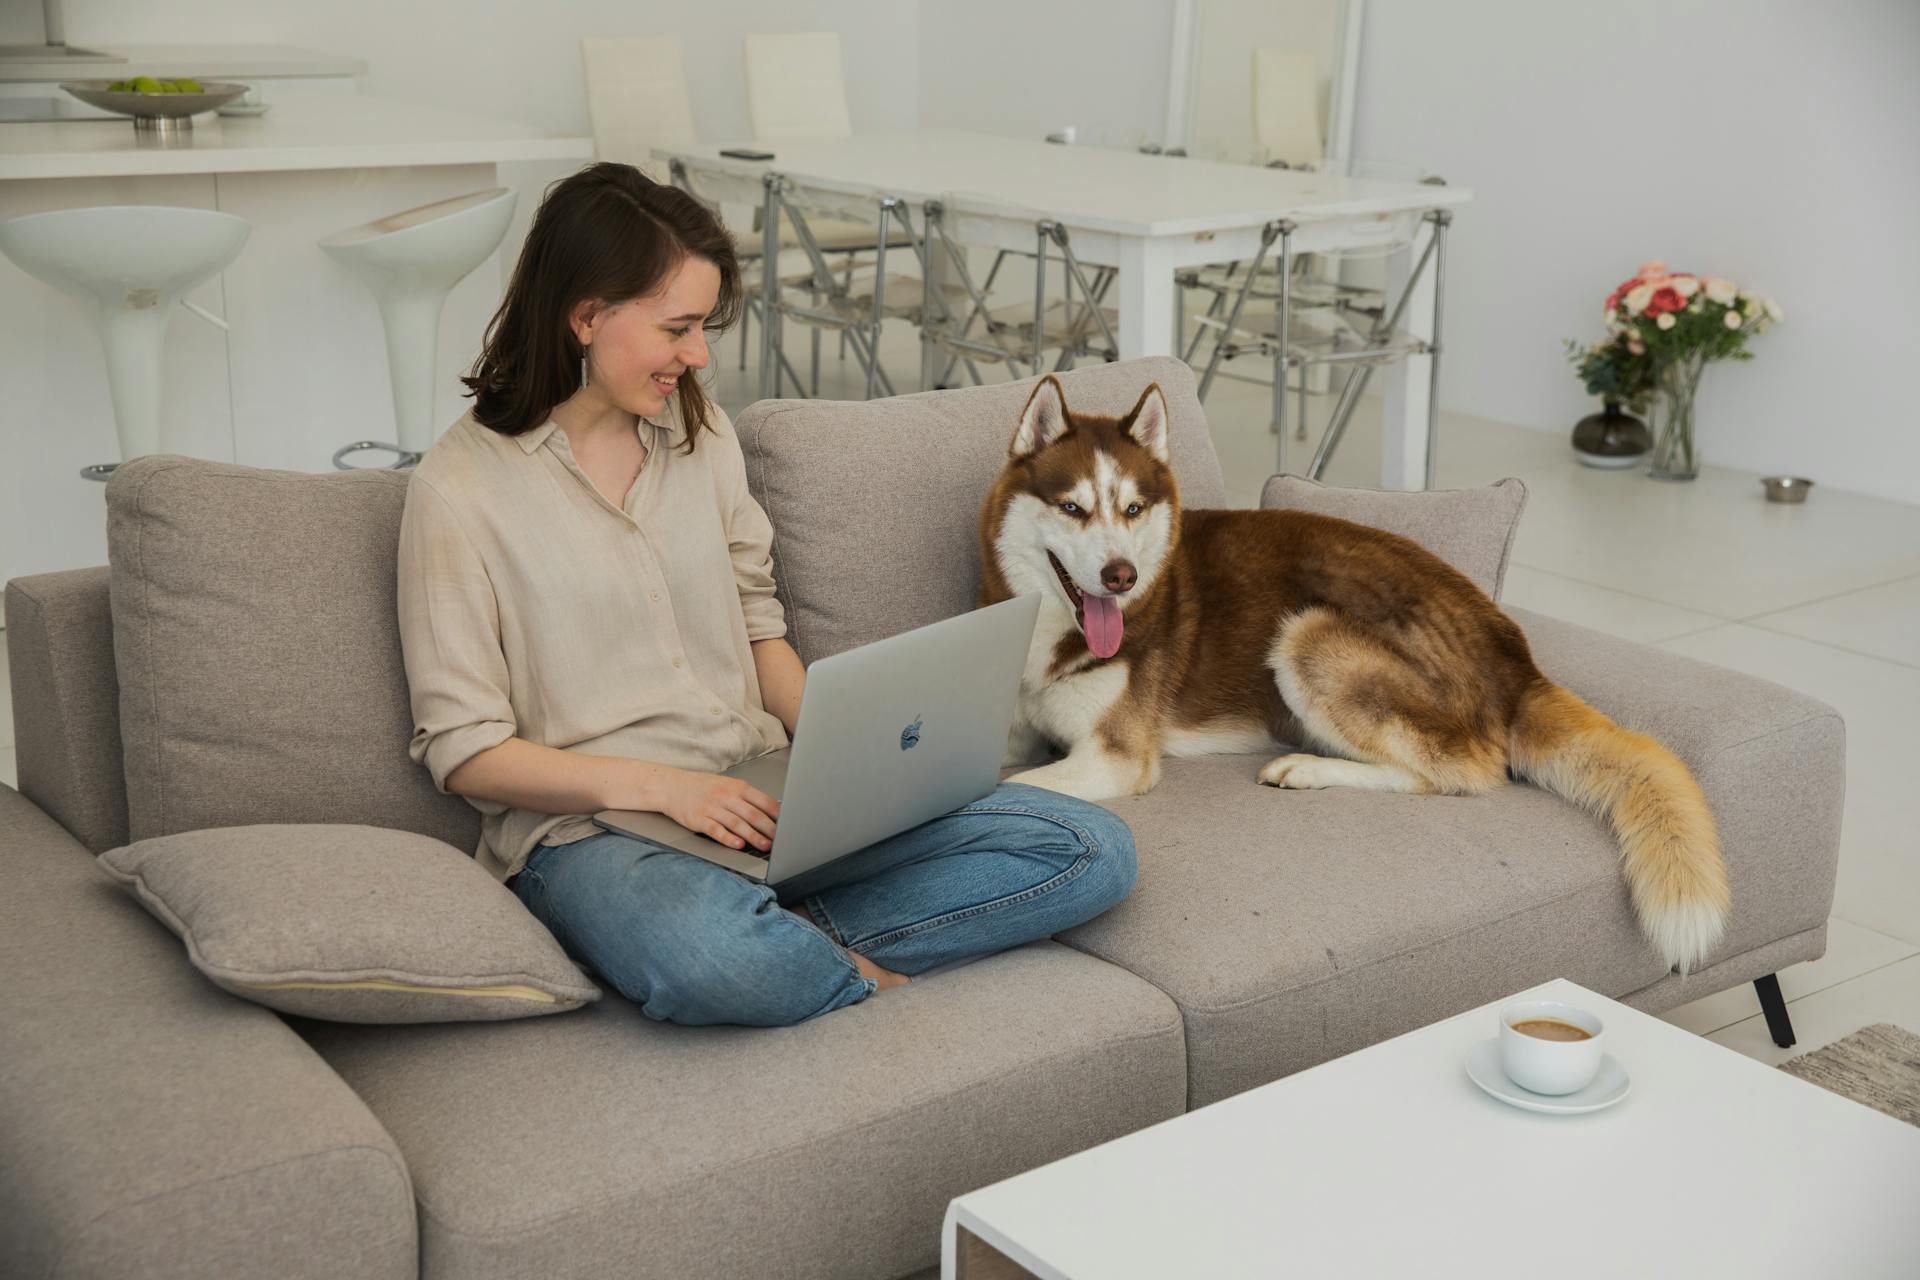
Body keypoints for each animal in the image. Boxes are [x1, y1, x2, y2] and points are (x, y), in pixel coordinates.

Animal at [983, 376, 1735, 974]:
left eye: (1132, 509)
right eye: (1073, 507)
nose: (1122, 575)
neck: (1052, 633)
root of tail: (1514, 655)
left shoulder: (1114, 757)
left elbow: (1013, 790)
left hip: (1308, 635)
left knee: (1463, 771)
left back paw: (1308, 768)